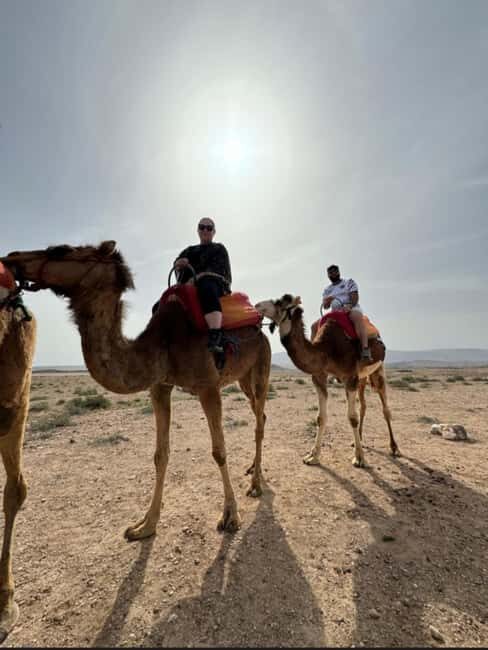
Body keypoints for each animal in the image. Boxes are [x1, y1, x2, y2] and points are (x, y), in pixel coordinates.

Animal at [0, 241, 271, 542]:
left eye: (60, 250)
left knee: (259, 420)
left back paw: (256, 484)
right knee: (260, 415)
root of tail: (258, 323)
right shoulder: (159, 386)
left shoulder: (208, 386)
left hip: (261, 364)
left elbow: (219, 451)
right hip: (243, 378)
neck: (162, 343)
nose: (11, 259)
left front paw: (231, 515)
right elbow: (160, 455)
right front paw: (145, 526)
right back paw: (252, 469)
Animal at [255, 294, 399, 468]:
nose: (257, 305)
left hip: (378, 369)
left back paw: (394, 447)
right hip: (362, 378)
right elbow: (321, 418)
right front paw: (312, 456)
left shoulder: (350, 377)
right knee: (363, 405)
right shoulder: (319, 377)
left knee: (385, 407)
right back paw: (359, 440)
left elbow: (352, 418)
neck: (327, 350)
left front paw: (359, 458)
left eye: (280, 302)